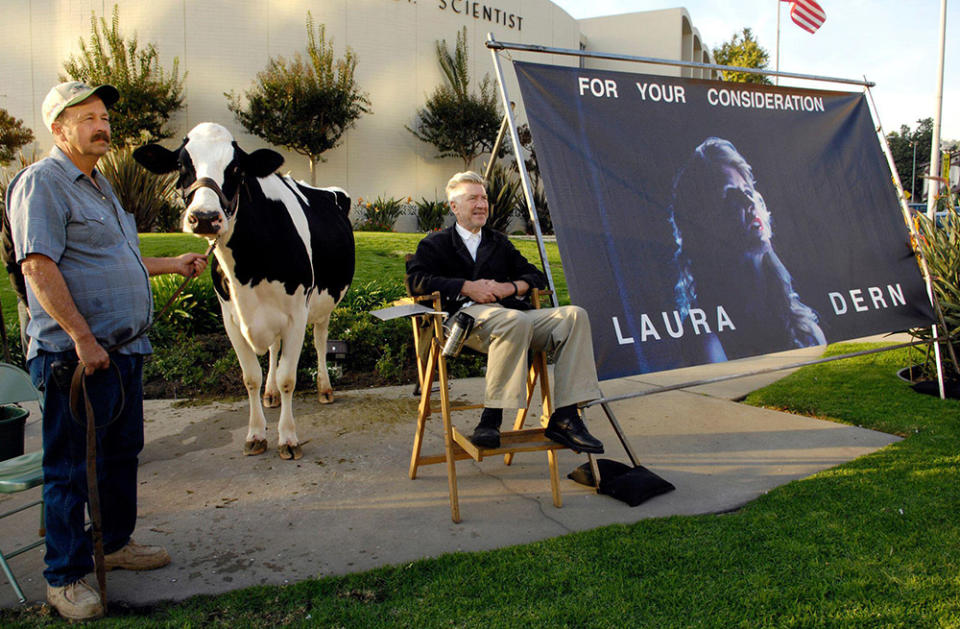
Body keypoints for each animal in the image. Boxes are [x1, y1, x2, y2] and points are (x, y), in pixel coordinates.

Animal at [136, 122, 356, 458]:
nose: (204, 217)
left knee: (320, 342)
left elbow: (288, 377)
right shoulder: (231, 319)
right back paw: (270, 394)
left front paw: (288, 438)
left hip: (323, 304)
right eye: (182, 165)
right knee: (273, 350)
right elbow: (251, 377)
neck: (249, 270)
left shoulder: (296, 315)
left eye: (236, 168)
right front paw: (256, 434)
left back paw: (324, 388)